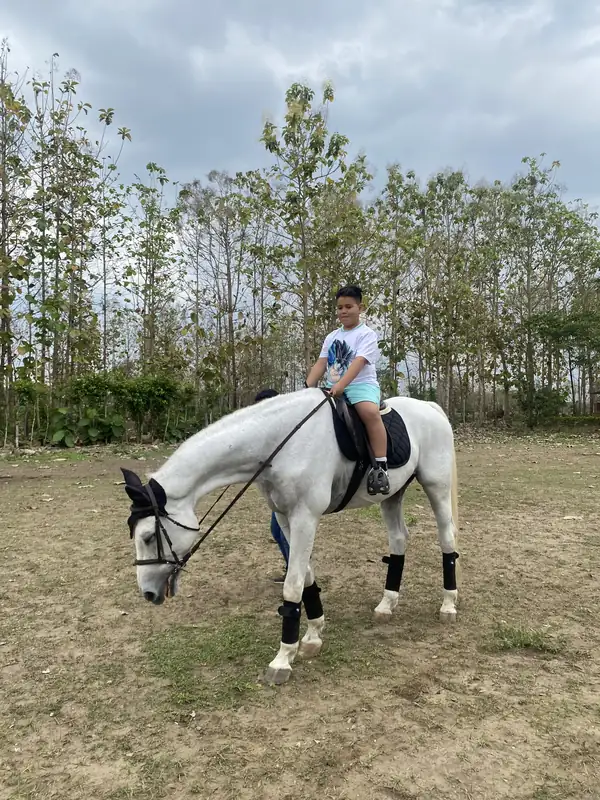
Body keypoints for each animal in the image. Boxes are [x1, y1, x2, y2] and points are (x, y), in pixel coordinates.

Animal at [120, 388, 459, 685]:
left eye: (148, 536)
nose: (148, 593)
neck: (282, 443)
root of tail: (430, 407)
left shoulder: (305, 517)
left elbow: (293, 585)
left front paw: (282, 659)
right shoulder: (286, 518)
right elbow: (305, 578)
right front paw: (311, 636)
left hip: (436, 486)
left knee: (447, 539)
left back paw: (448, 605)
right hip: (392, 496)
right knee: (399, 539)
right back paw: (387, 604)